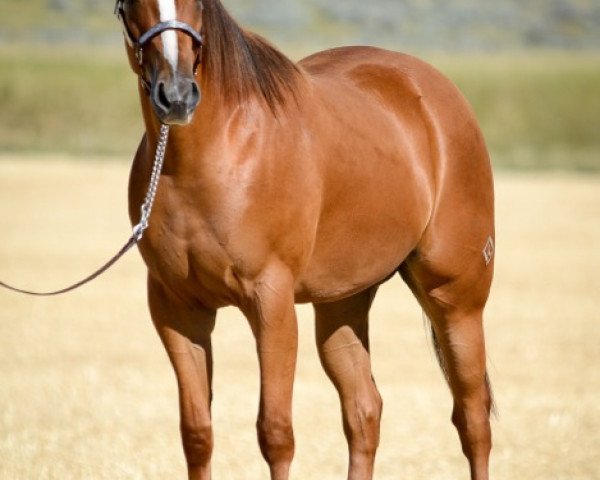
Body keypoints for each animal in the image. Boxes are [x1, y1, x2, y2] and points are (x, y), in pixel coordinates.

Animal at [115, 0, 494, 480]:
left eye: (197, 5)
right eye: (128, 6)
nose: (178, 96)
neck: (213, 156)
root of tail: (436, 91)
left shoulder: (271, 303)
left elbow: (275, 433)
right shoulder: (176, 309)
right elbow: (197, 434)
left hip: (456, 300)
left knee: (472, 417)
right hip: (342, 304)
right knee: (364, 410)